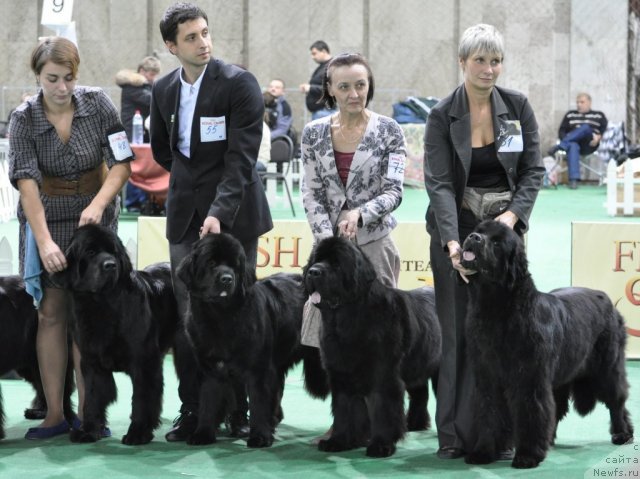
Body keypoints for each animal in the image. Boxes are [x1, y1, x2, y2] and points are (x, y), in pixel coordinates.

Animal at [55, 225, 179, 446]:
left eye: (113, 252)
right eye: (90, 252)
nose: (110, 265)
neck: (102, 303)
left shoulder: (143, 361)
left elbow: (141, 399)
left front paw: (137, 433)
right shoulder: (91, 360)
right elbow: (92, 398)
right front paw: (89, 431)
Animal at [175, 234, 328, 448]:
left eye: (234, 265)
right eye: (211, 263)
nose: (227, 278)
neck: (221, 316)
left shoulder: (258, 368)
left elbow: (258, 402)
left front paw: (260, 436)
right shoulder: (211, 367)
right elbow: (208, 401)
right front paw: (203, 434)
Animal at [302, 238, 438, 460]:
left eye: (337, 264)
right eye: (316, 260)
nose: (313, 272)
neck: (347, 317)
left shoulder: (384, 375)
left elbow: (382, 409)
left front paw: (381, 445)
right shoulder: (341, 374)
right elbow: (344, 409)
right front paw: (339, 441)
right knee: (419, 393)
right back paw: (414, 424)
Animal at [460, 220, 636, 468]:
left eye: (497, 242)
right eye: (479, 231)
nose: (473, 237)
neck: (496, 307)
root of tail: (605, 298)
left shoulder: (529, 378)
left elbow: (531, 411)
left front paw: (527, 456)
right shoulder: (488, 377)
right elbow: (488, 412)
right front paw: (483, 452)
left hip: (607, 367)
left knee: (616, 400)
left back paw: (622, 433)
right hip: (561, 375)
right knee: (557, 408)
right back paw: (550, 440)